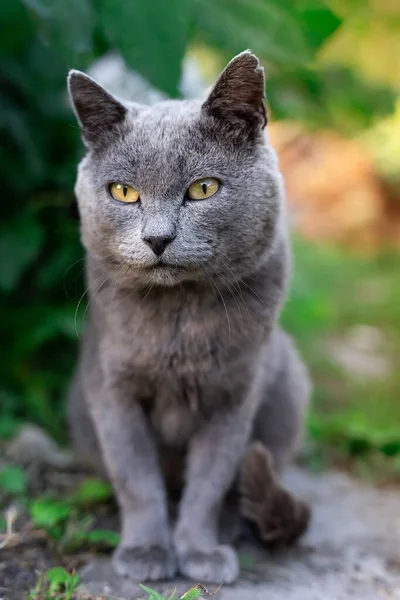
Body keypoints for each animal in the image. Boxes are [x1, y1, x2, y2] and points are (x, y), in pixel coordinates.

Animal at [67, 49, 310, 584]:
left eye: (203, 189)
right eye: (123, 192)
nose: (157, 238)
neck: (179, 317)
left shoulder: (234, 395)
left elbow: (209, 483)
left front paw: (199, 552)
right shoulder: (112, 389)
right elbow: (137, 480)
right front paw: (146, 552)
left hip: (288, 384)